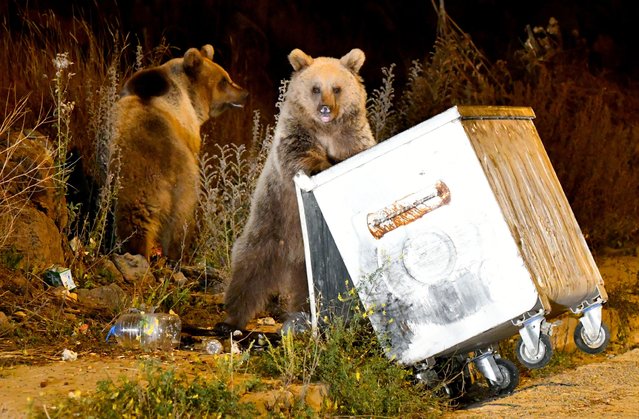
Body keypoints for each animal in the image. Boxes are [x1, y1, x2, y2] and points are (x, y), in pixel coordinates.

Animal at [111, 46, 249, 262]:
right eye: (224, 80)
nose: (244, 93)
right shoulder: (188, 125)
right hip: (182, 186)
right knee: (179, 222)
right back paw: (178, 255)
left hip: (129, 183)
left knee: (132, 219)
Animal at [219, 47, 378, 334]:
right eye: (315, 88)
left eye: (336, 88)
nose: (325, 108)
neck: (326, 129)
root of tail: (289, 257)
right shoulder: (296, 133)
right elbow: (299, 154)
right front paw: (320, 165)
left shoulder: (351, 135)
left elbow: (358, 148)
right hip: (270, 223)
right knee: (249, 269)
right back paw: (232, 318)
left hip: (307, 260)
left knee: (305, 289)